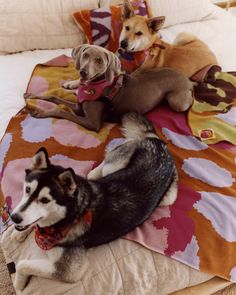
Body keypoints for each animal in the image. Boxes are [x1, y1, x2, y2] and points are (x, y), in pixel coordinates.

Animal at [10, 113, 178, 292]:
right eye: (28, 189)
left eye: (44, 200)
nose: (14, 218)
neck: (71, 216)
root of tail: (159, 143)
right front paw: (19, 232)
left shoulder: (69, 271)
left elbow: (22, 264)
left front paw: (19, 284)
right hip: (115, 166)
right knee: (99, 169)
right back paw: (92, 174)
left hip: (168, 198)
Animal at [26, 44, 194, 132]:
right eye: (85, 55)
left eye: (99, 60)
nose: (83, 72)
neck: (94, 86)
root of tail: (187, 79)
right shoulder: (79, 107)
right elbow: (54, 97)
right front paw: (32, 96)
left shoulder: (92, 123)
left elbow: (61, 111)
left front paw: (39, 112)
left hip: (176, 101)